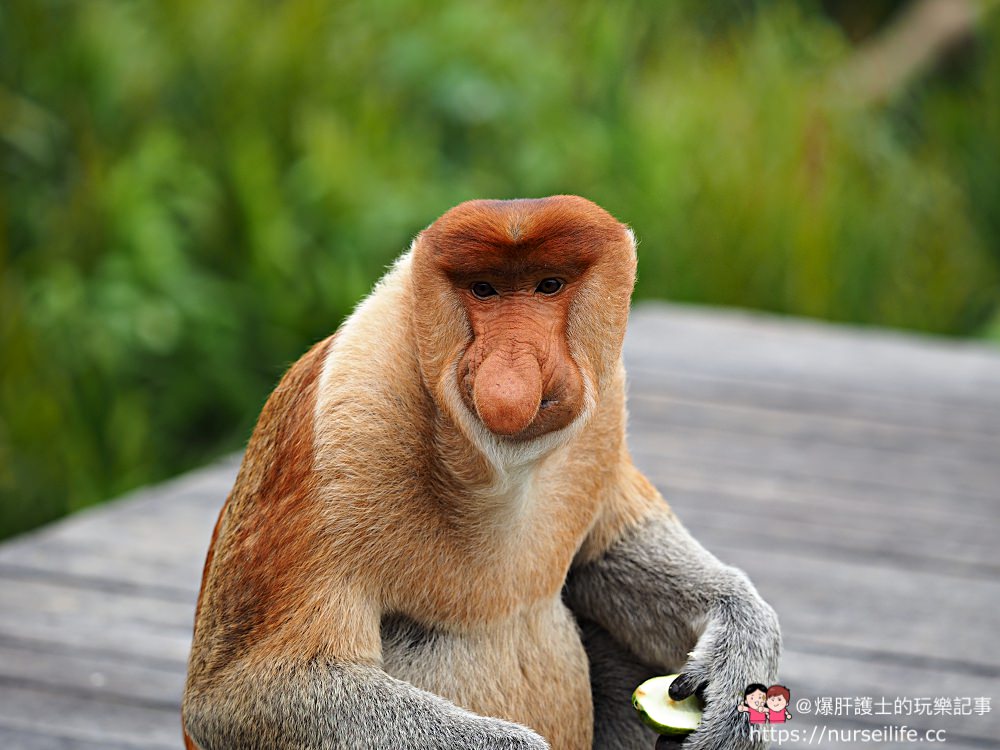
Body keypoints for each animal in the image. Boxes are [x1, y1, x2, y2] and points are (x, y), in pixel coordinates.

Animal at [182, 197, 780, 748]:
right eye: (485, 289)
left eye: (548, 285)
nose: (512, 366)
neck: (497, 470)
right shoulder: (340, 426)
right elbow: (243, 693)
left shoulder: (602, 426)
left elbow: (607, 552)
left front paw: (741, 646)